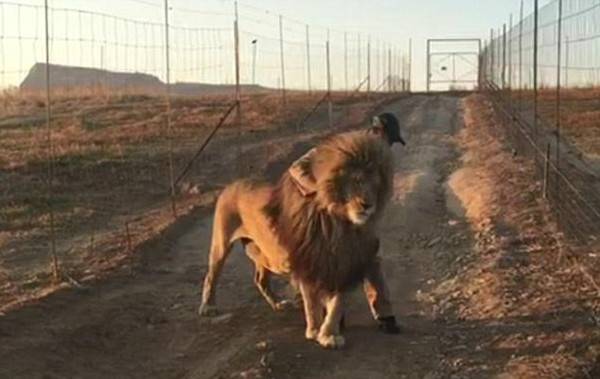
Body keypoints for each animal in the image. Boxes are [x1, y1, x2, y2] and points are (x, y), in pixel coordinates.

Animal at [199, 131, 392, 350]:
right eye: (357, 181)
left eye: (376, 185)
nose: (368, 205)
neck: (341, 226)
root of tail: (233, 183)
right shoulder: (310, 263)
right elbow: (312, 302)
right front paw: (315, 331)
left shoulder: (341, 265)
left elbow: (336, 304)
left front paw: (329, 333)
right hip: (221, 243)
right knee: (211, 275)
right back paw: (208, 306)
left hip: (265, 254)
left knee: (260, 280)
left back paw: (278, 304)